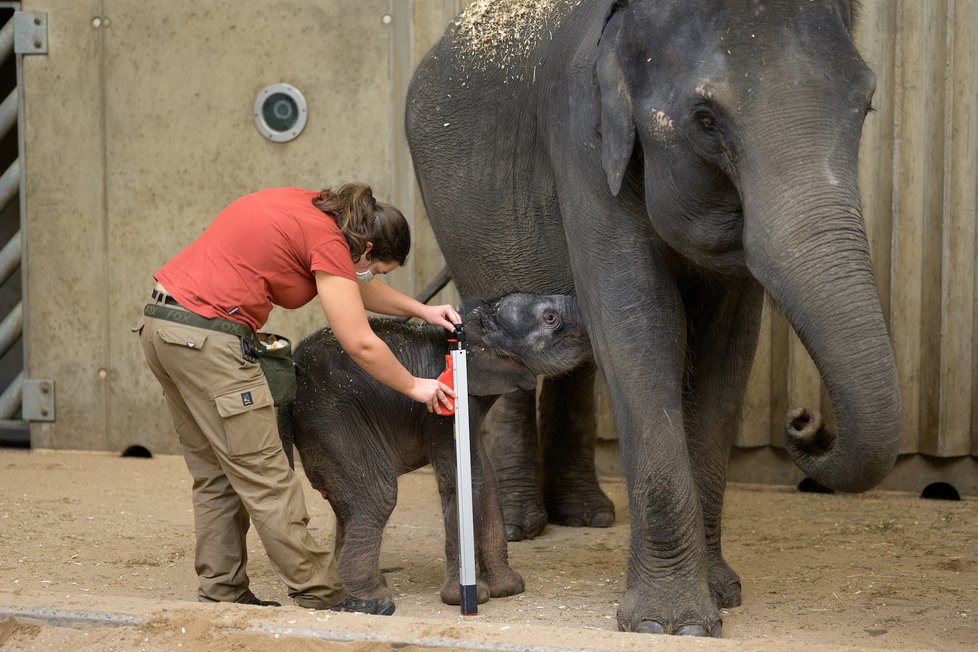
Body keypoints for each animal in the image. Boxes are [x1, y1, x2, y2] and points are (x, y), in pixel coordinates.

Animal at [278, 292, 592, 608]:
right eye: (550, 318)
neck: (473, 327)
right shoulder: (444, 411)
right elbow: (465, 481)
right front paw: (467, 597)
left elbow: (485, 479)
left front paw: (508, 589)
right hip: (332, 418)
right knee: (378, 494)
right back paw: (372, 598)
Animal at [404, 0, 900, 636]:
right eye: (706, 120)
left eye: (866, 105)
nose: (803, 423)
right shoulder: (582, 139)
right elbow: (640, 321)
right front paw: (670, 624)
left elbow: (727, 346)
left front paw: (723, 594)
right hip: (460, 221)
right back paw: (524, 524)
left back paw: (586, 517)